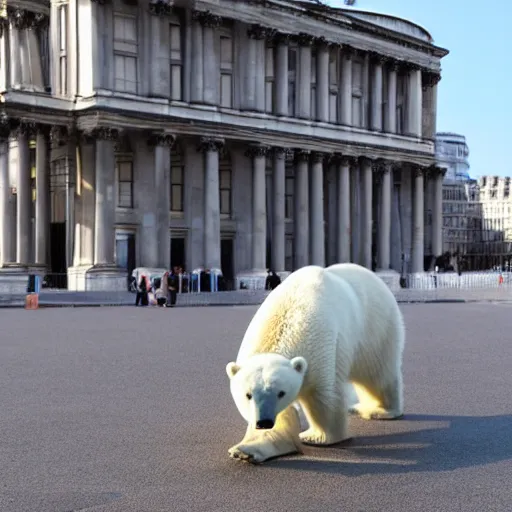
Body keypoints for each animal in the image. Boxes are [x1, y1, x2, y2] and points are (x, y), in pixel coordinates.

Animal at [226, 264, 406, 464]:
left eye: (281, 393)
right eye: (248, 395)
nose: (263, 422)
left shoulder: (320, 348)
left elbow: (324, 397)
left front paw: (316, 437)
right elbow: (283, 416)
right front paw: (245, 450)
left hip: (376, 327)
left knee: (377, 374)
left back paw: (379, 410)